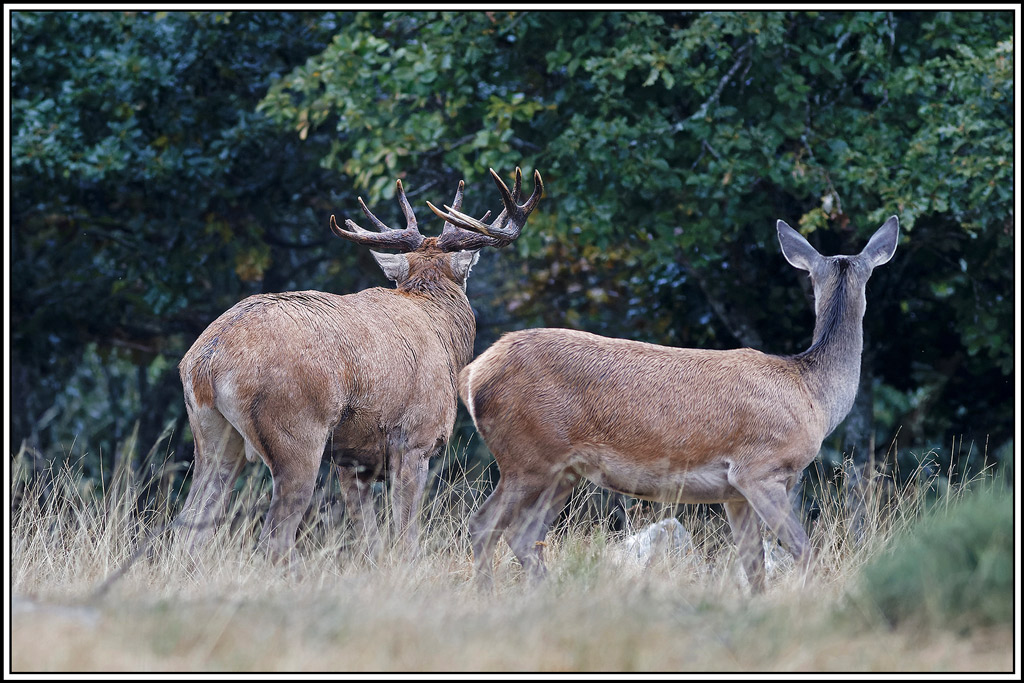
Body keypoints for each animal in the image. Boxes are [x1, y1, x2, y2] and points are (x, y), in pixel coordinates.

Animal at [175, 167, 544, 564]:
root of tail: (206, 362)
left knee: (191, 524)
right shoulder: (415, 437)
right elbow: (406, 535)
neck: (442, 332)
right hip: (295, 431)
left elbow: (370, 539)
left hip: (212, 436)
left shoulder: (352, 459)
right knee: (274, 534)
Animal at [440, 215, 899, 592]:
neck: (812, 393)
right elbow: (802, 551)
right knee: (485, 526)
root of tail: (473, 374)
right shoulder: (761, 469)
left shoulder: (733, 492)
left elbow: (753, 566)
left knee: (523, 536)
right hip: (527, 455)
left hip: (562, 470)